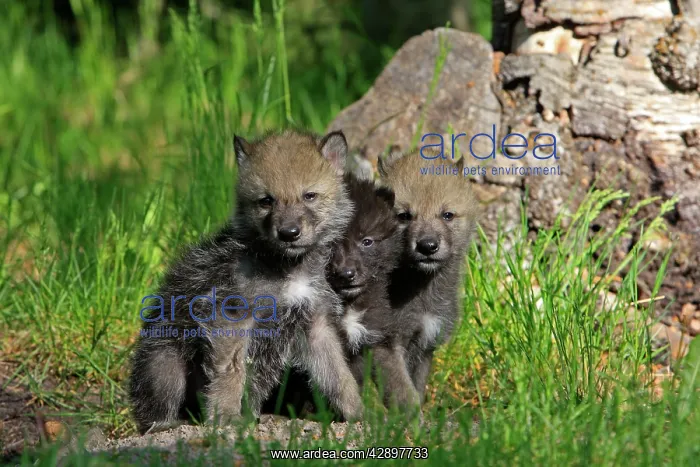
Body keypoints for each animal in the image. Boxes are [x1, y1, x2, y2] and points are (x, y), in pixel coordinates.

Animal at [129, 129, 363, 434]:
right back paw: (167, 425)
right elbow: (231, 372)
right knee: (154, 411)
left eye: (309, 196)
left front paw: (362, 413)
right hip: (165, 365)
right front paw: (225, 417)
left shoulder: (316, 325)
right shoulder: (231, 318)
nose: (289, 233)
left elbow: (339, 375)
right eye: (266, 201)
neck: (286, 268)